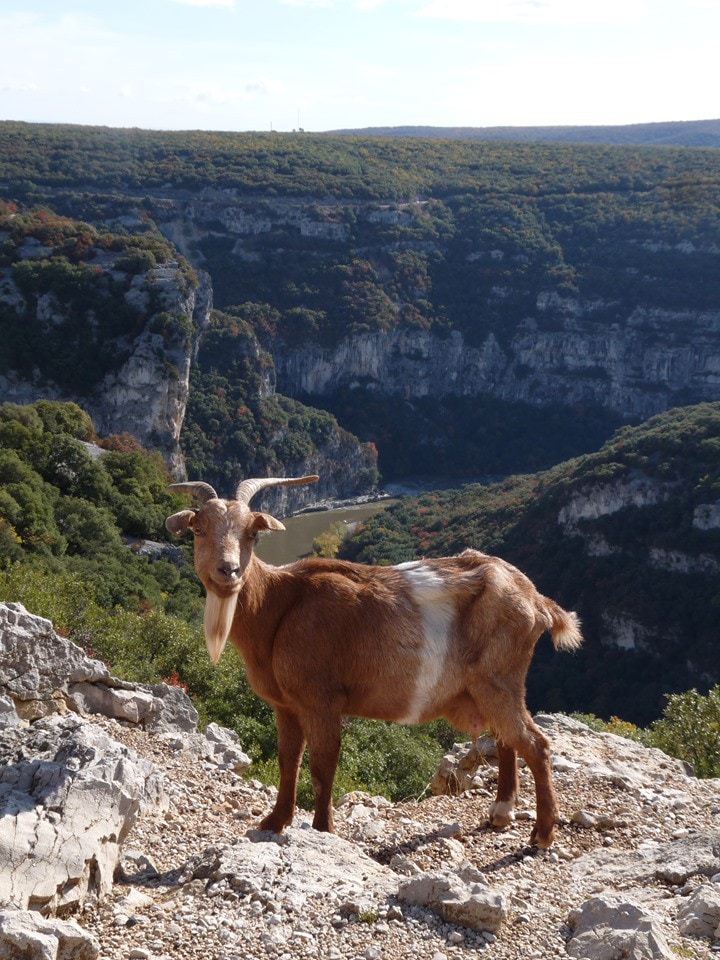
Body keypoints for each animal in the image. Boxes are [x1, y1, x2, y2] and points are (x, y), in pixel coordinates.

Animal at [166, 474, 584, 848]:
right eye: (199, 528)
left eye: (252, 533)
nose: (229, 570)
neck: (278, 604)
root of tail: (536, 600)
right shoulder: (286, 705)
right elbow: (289, 761)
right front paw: (274, 821)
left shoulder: (322, 700)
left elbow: (322, 766)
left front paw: (322, 830)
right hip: (489, 688)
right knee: (506, 740)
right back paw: (501, 812)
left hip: (499, 678)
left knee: (535, 743)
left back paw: (543, 834)